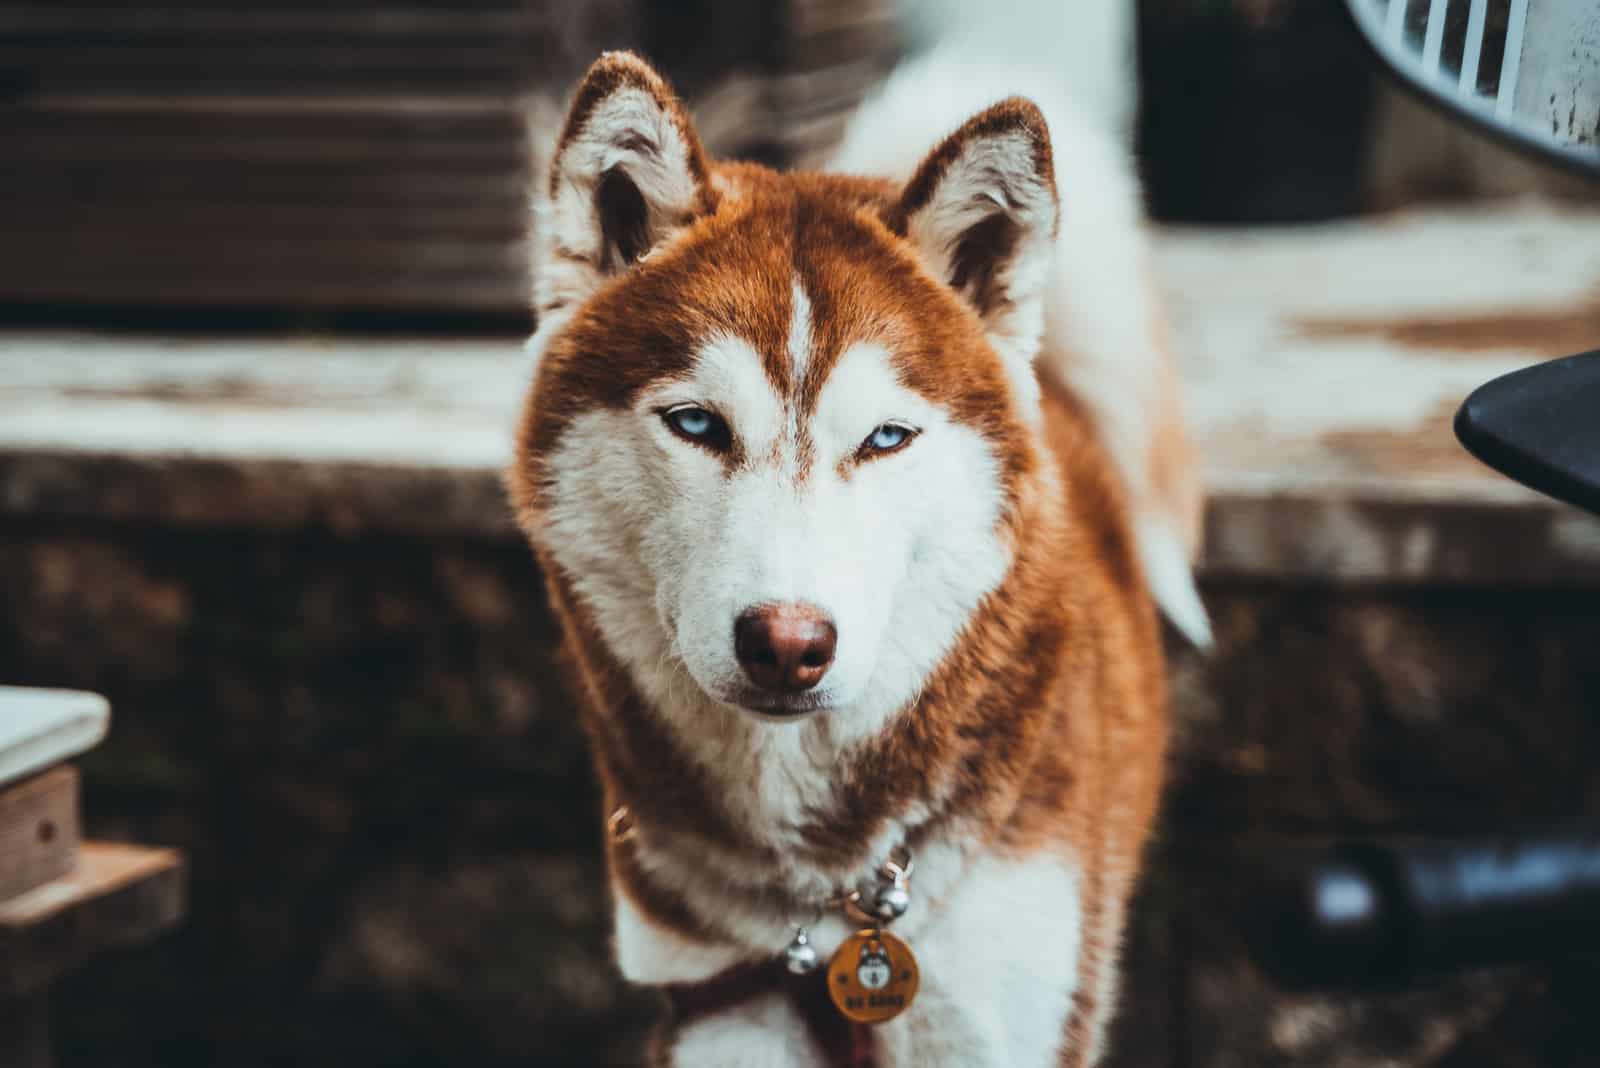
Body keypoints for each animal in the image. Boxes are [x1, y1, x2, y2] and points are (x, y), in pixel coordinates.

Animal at [508, 6, 1203, 1061]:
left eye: (885, 438)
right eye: (697, 424)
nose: (787, 643)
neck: (826, 903)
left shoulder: (1002, 1017)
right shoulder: (720, 999)